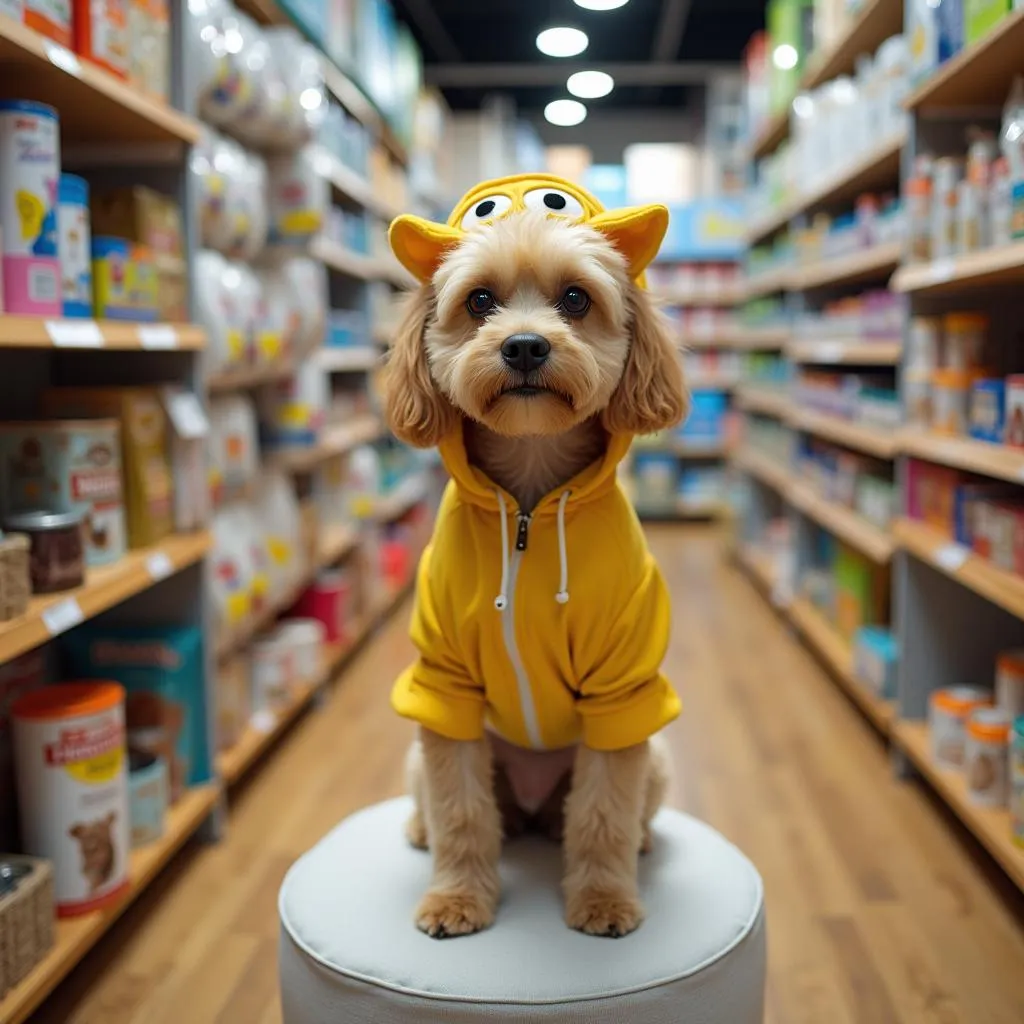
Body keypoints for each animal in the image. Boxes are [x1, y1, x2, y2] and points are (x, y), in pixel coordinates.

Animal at [385, 174, 688, 937]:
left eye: (576, 299)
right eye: (479, 301)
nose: (523, 346)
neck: (526, 506)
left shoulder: (621, 691)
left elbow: (604, 812)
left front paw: (605, 900)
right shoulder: (445, 689)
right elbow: (460, 811)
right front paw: (457, 897)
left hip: (656, 756)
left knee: (610, 812)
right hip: (421, 750)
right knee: (442, 804)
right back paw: (421, 830)